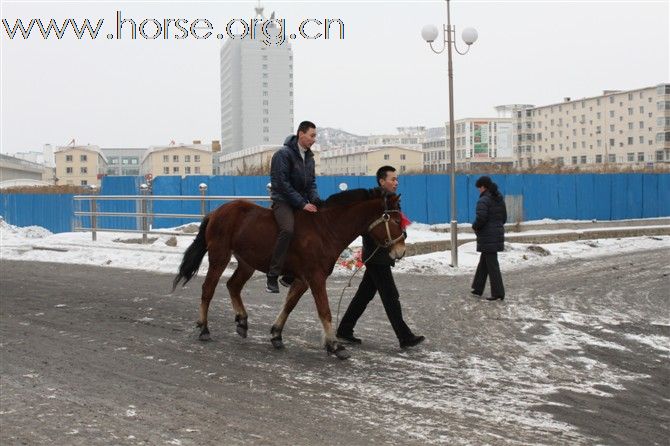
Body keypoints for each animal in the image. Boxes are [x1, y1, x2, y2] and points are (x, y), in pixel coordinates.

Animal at [171, 187, 406, 358]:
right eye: (395, 220)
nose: (401, 251)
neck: (325, 229)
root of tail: (216, 212)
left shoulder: (303, 280)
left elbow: (289, 305)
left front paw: (276, 334)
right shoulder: (316, 278)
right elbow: (324, 310)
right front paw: (334, 345)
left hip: (247, 263)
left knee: (233, 285)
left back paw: (242, 321)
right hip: (219, 257)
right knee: (208, 289)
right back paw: (204, 329)